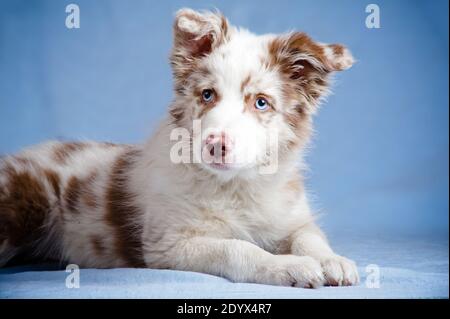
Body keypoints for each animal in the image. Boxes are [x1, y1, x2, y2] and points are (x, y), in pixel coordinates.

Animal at [0, 8, 358, 288]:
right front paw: (287, 266)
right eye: (207, 95)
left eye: (260, 102)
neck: (235, 185)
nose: (215, 145)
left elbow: (308, 235)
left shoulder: (291, 215)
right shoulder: (169, 244)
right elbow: (237, 248)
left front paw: (332, 260)